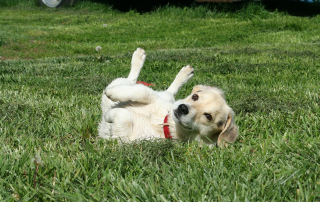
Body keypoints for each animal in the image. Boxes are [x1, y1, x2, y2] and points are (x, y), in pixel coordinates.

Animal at [98, 48, 238, 148]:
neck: (163, 123)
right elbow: (142, 91)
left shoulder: (126, 142)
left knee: (132, 80)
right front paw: (113, 93)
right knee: (136, 82)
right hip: (162, 96)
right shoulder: (154, 99)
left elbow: (123, 116)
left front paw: (109, 115)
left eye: (208, 116)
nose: (182, 108)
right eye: (195, 96)